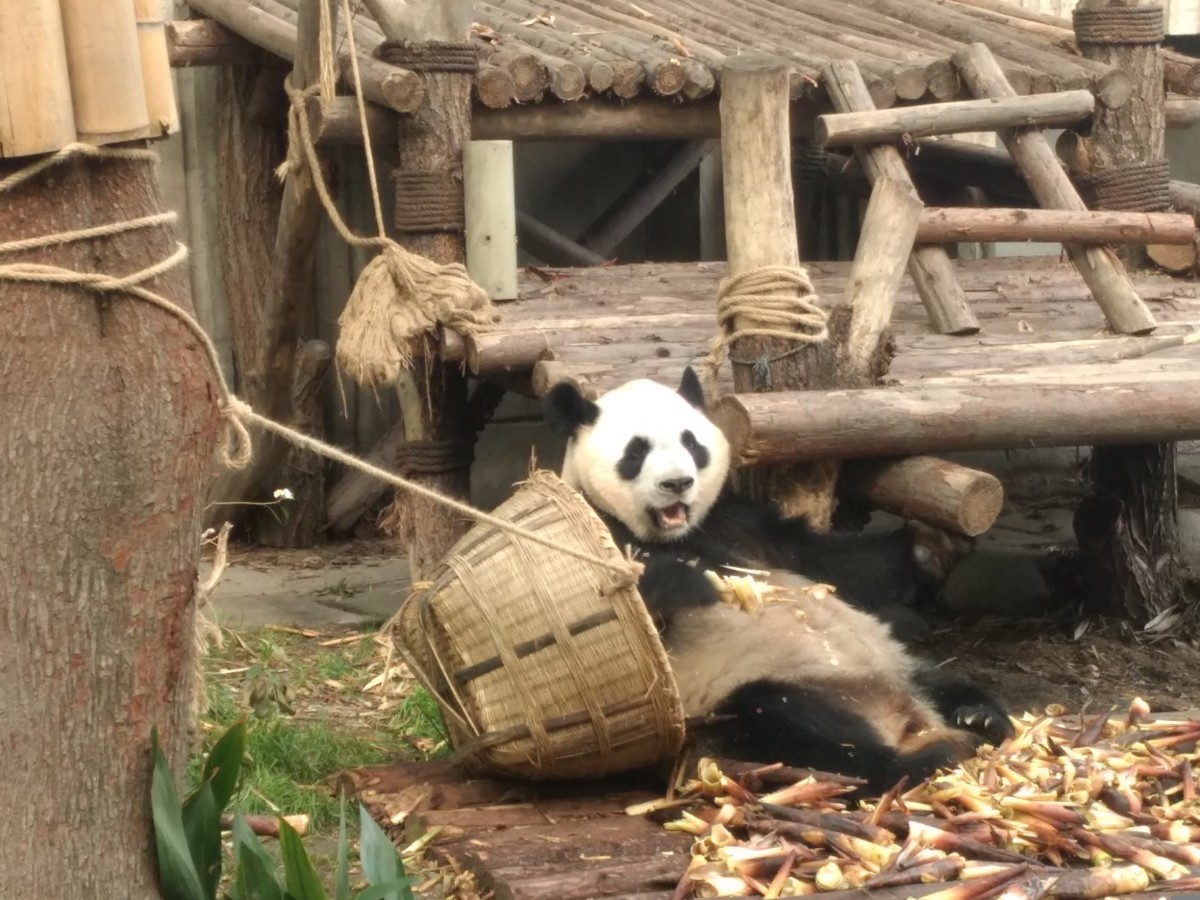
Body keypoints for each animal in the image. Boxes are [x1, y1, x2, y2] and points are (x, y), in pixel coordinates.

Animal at [544, 368, 1014, 794]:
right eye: (636, 451)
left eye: (690, 442)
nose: (677, 483)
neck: (679, 535)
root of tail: (905, 714)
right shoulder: (599, 533)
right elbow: (600, 607)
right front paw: (689, 581)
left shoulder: (740, 524)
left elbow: (831, 563)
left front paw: (934, 544)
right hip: (739, 703)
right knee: (794, 728)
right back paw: (924, 760)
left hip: (895, 661)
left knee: (939, 681)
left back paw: (980, 717)